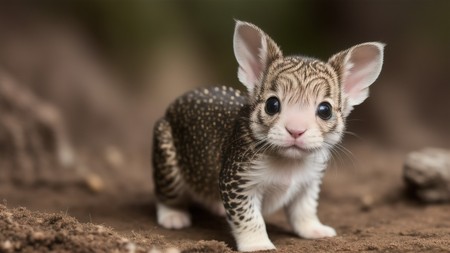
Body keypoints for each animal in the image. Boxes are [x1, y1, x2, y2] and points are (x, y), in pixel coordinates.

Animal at [153, 20, 384, 252]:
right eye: (272, 105)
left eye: (325, 110)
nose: (296, 130)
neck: (289, 163)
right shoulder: (237, 181)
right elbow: (249, 218)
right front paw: (257, 244)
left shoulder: (310, 180)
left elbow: (305, 209)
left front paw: (313, 229)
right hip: (165, 147)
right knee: (165, 194)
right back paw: (172, 215)